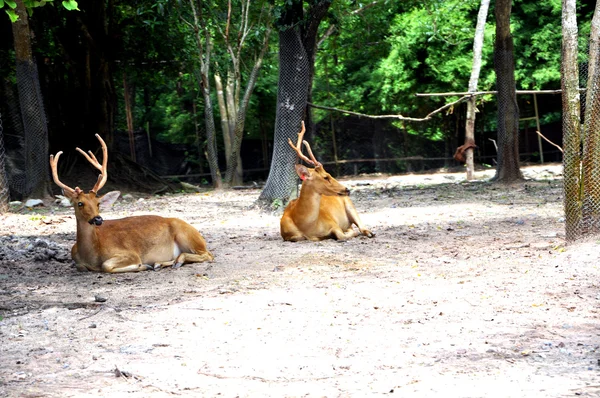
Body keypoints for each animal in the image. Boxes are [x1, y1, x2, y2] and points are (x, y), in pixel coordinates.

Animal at [49, 135, 213, 272]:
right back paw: (160, 263)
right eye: (80, 203)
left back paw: (174, 261)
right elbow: (81, 266)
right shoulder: (76, 260)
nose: (98, 219)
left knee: (208, 255)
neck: (91, 255)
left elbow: (106, 266)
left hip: (187, 235)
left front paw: (142, 265)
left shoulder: (129, 253)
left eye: (98, 203)